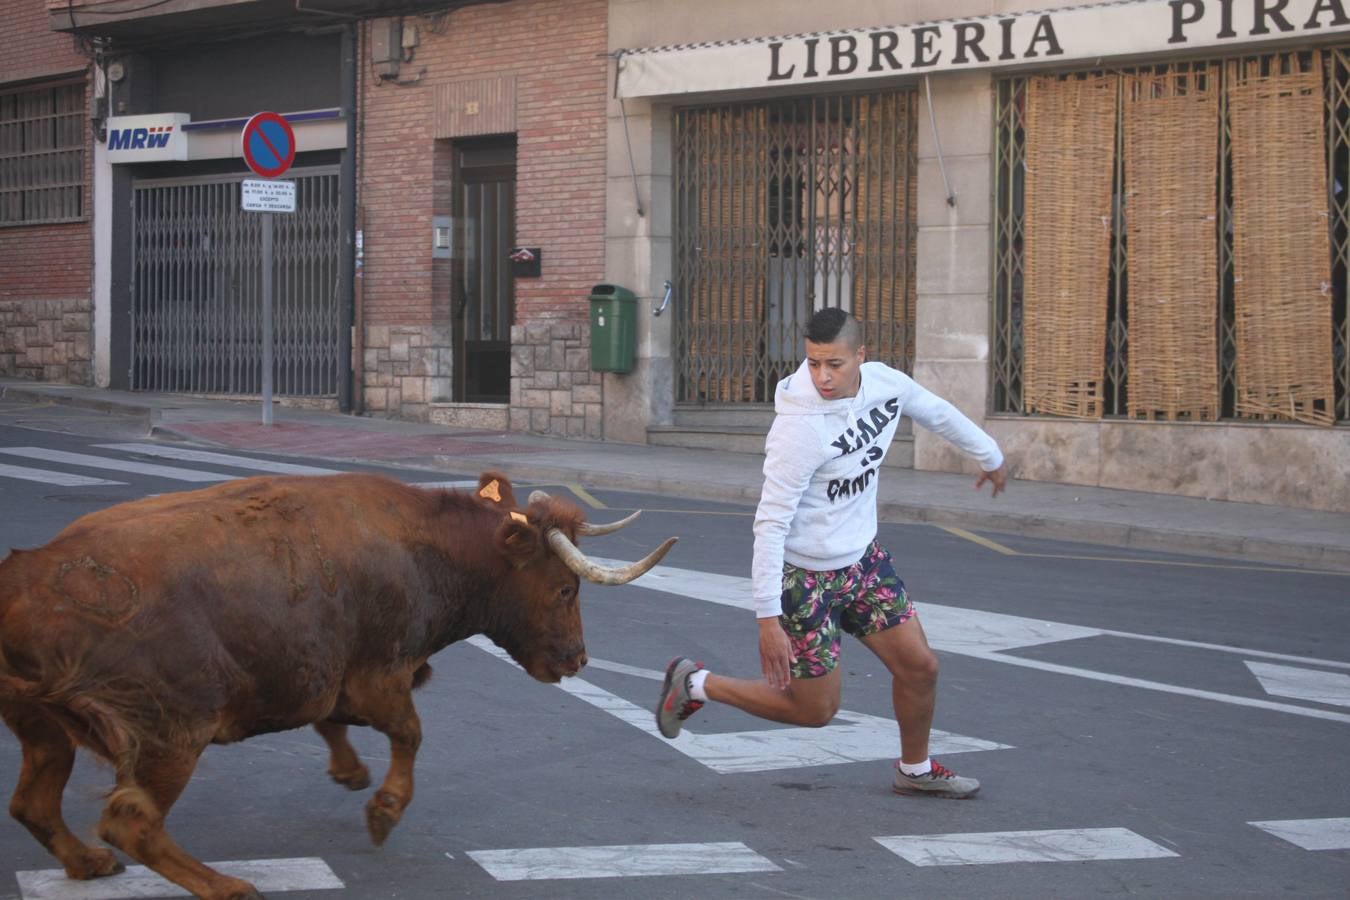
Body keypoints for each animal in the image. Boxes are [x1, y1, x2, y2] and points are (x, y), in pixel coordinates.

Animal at [0, 472, 675, 900]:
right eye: (564, 589)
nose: (576, 660)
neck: (425, 551)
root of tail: (27, 577)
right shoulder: (381, 673)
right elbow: (409, 732)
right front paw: (383, 809)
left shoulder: (326, 675)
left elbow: (333, 720)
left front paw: (351, 774)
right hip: (171, 734)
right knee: (130, 820)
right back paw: (228, 887)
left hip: (45, 731)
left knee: (34, 803)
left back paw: (87, 863)